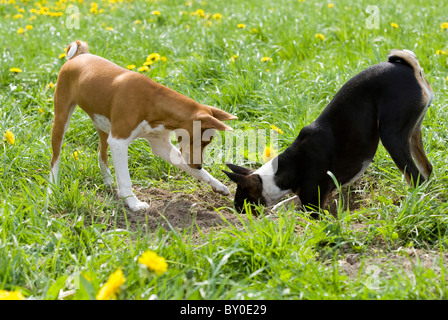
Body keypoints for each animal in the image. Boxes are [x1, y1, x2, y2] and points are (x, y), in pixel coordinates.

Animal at [49, 40, 238, 212]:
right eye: (205, 141)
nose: (199, 165)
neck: (153, 101)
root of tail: (79, 56)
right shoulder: (119, 142)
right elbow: (125, 179)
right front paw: (133, 203)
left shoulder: (160, 144)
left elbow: (192, 169)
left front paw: (218, 185)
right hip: (61, 121)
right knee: (55, 159)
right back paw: (53, 189)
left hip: (102, 126)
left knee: (101, 154)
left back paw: (108, 182)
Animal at [224, 49, 434, 218]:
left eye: (240, 201)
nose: (237, 212)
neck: (289, 166)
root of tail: (411, 70)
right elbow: (288, 202)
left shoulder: (313, 205)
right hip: (413, 133)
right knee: (426, 169)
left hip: (391, 137)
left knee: (416, 177)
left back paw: (410, 204)